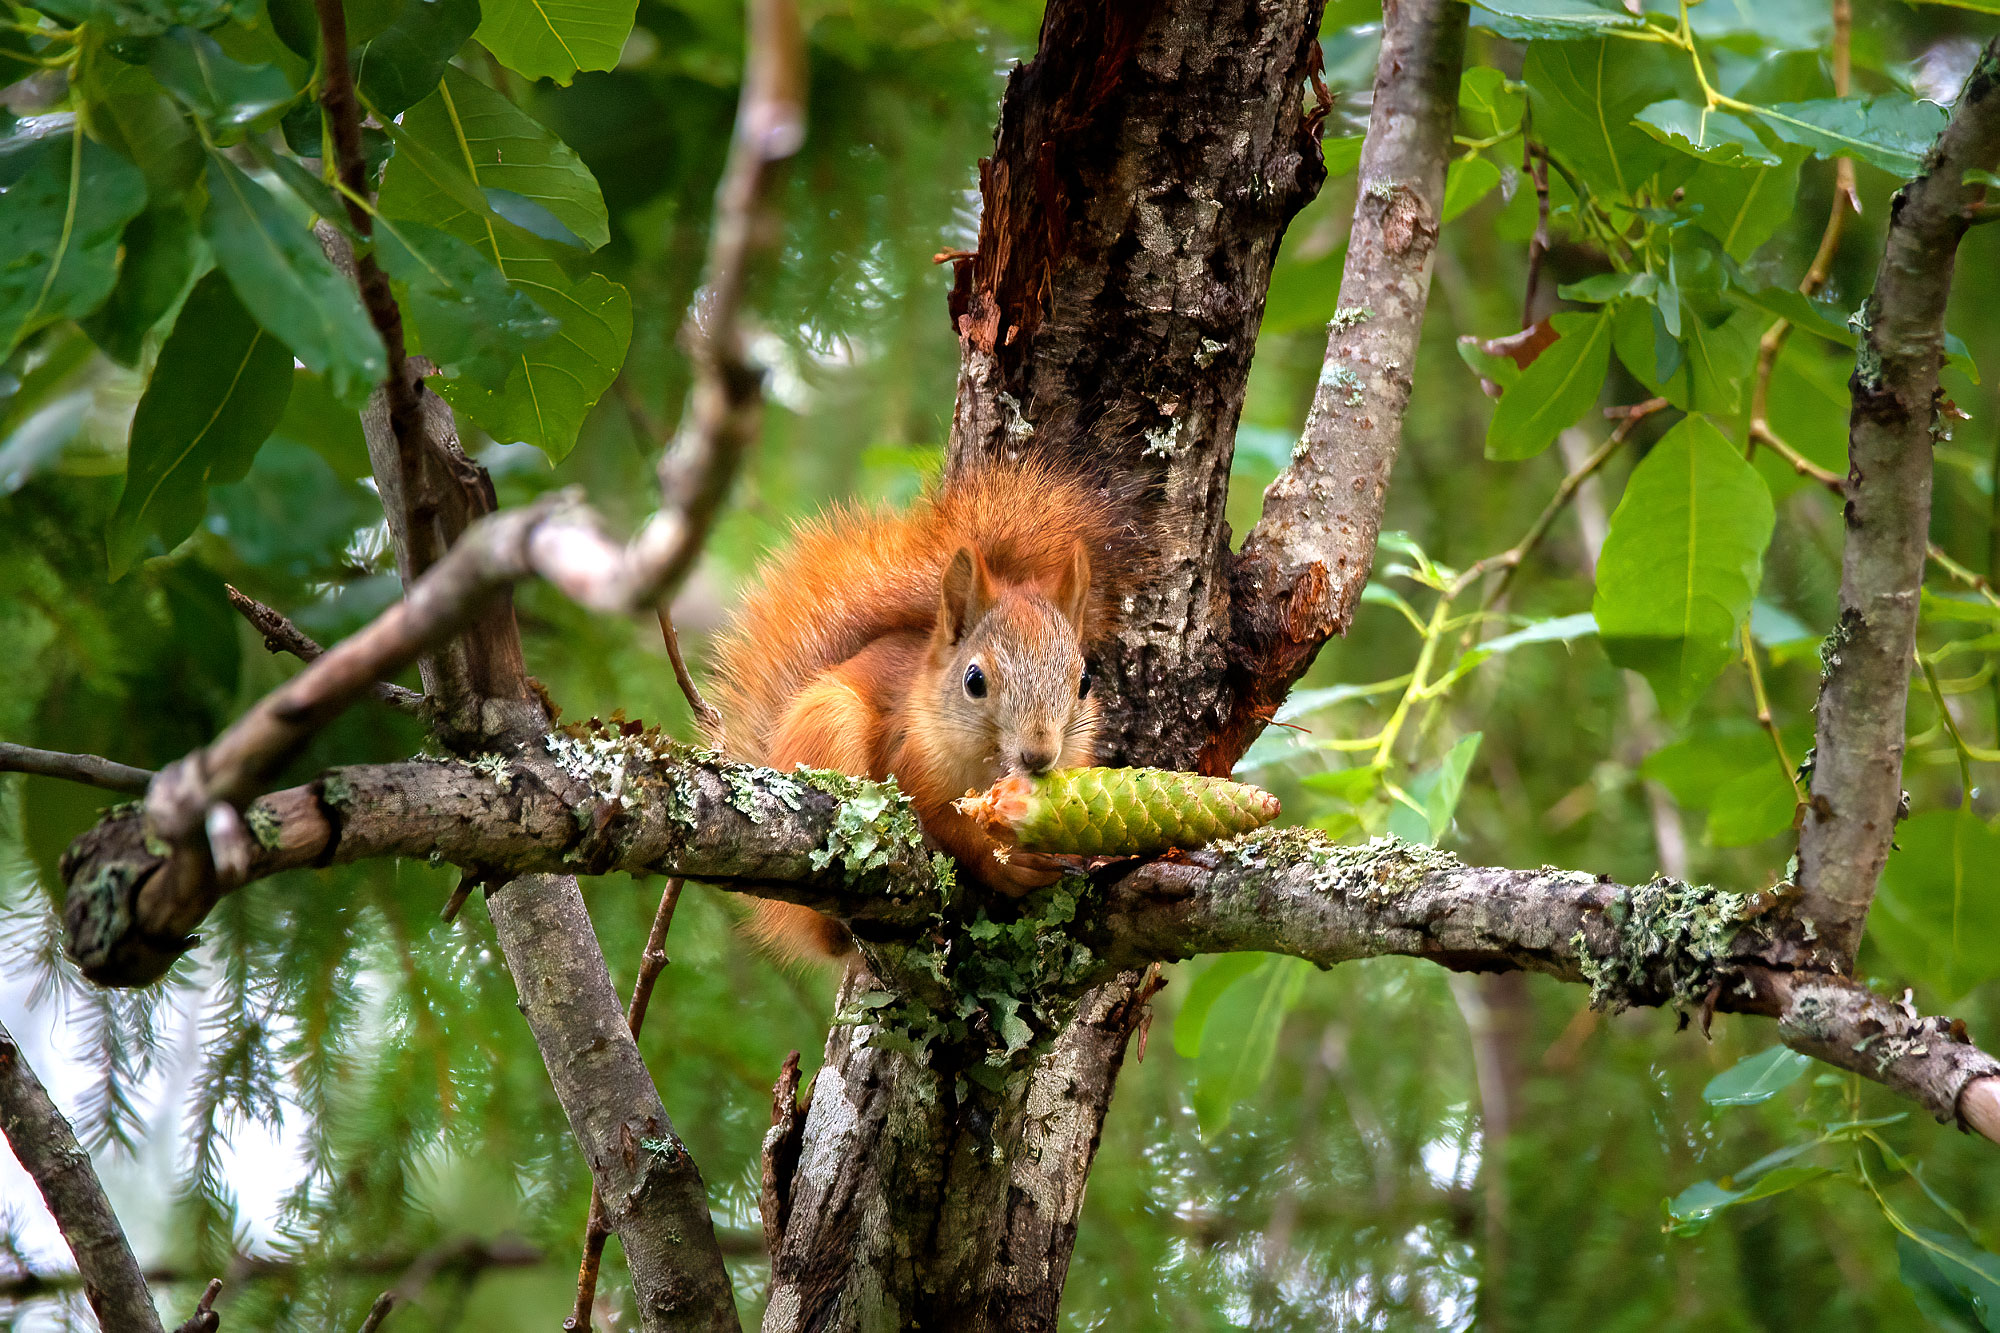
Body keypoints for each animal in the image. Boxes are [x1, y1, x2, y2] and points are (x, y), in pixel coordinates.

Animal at [712, 456, 1136, 956]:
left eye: (1085, 681)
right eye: (974, 681)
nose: (1038, 754)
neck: (987, 767)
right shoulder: (910, 757)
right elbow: (943, 820)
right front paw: (1006, 865)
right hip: (832, 723)